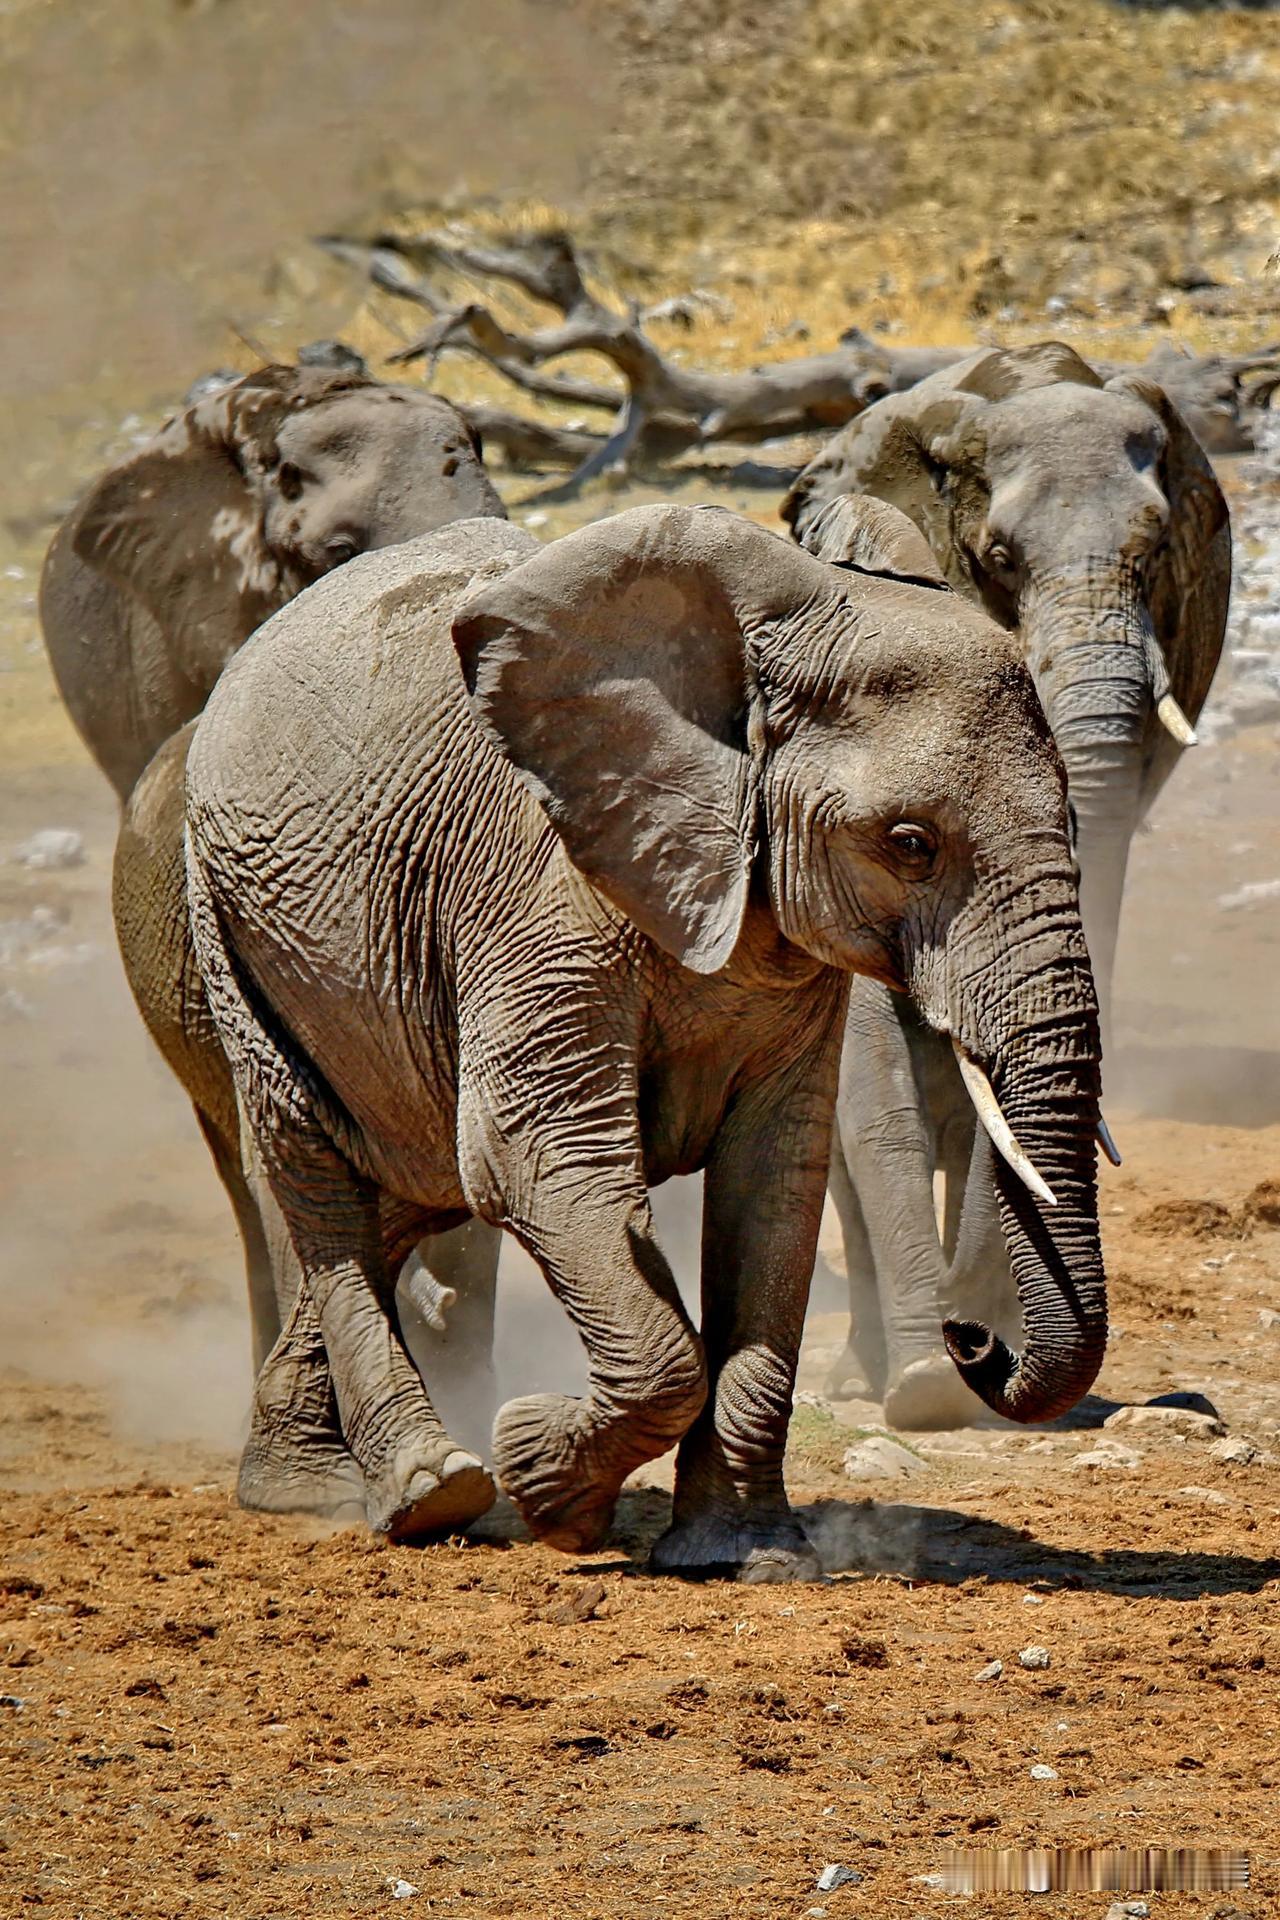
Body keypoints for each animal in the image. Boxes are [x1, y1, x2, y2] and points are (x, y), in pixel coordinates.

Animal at [182, 503, 1113, 1582]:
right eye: (910, 843)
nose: (973, 1341)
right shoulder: (537, 889)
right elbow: (537, 1161)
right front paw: (543, 1480)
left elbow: (774, 1185)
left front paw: (739, 1555)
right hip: (228, 923)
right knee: (320, 1180)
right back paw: (420, 1493)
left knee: (404, 1182)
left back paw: (303, 1484)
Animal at [782, 341, 1228, 1428]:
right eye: (996, 557)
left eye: (1157, 556)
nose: (974, 1342)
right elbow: (869, 1065)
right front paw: (921, 1393)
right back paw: (873, 1375)